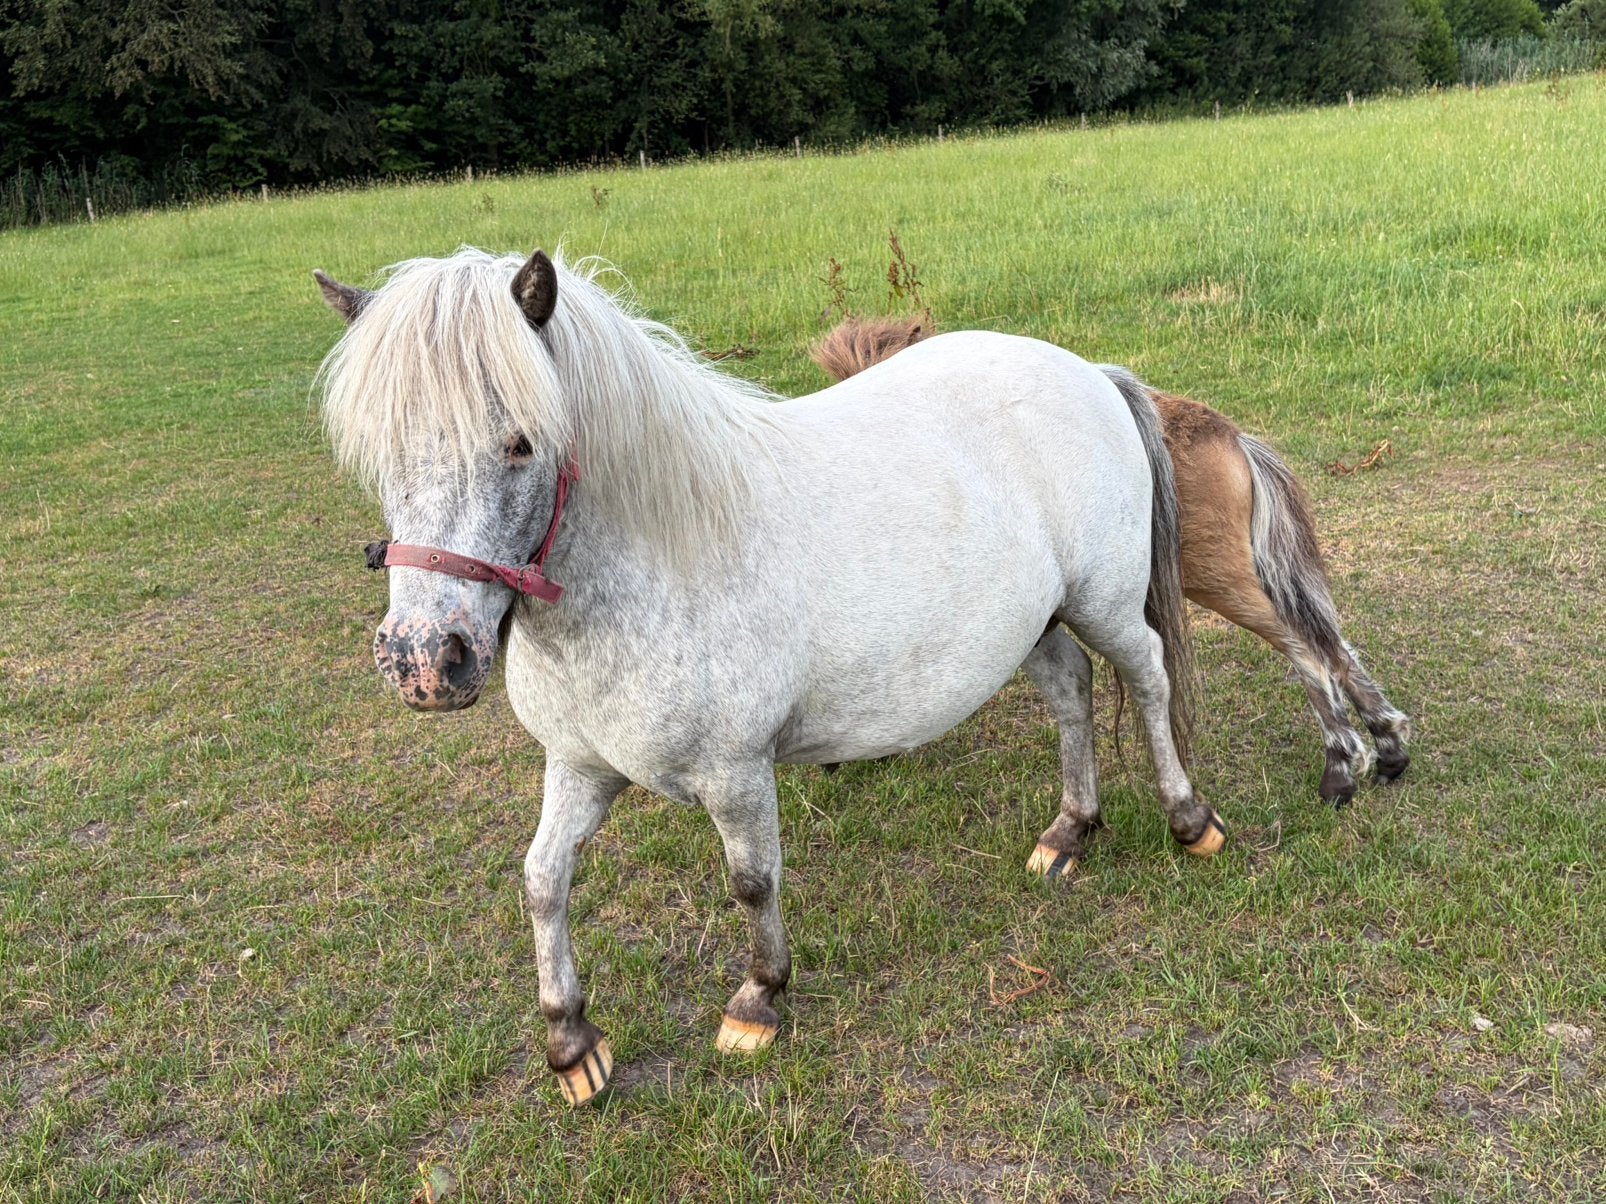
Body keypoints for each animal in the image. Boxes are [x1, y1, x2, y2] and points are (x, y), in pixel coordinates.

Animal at [314, 247, 1219, 1106]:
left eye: (520, 443)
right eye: (381, 455)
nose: (422, 660)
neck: (661, 563)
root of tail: (1085, 371)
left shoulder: (736, 773)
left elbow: (751, 883)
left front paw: (758, 1001)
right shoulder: (579, 767)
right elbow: (542, 882)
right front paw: (572, 1043)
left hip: (1104, 602)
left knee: (1148, 681)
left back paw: (1188, 819)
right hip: (1031, 623)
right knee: (1072, 689)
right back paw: (1068, 832)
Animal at [811, 316, 1411, 807]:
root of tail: (1230, 436)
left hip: (1217, 579)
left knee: (1305, 646)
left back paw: (1341, 768)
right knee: (1333, 644)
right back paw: (1388, 748)